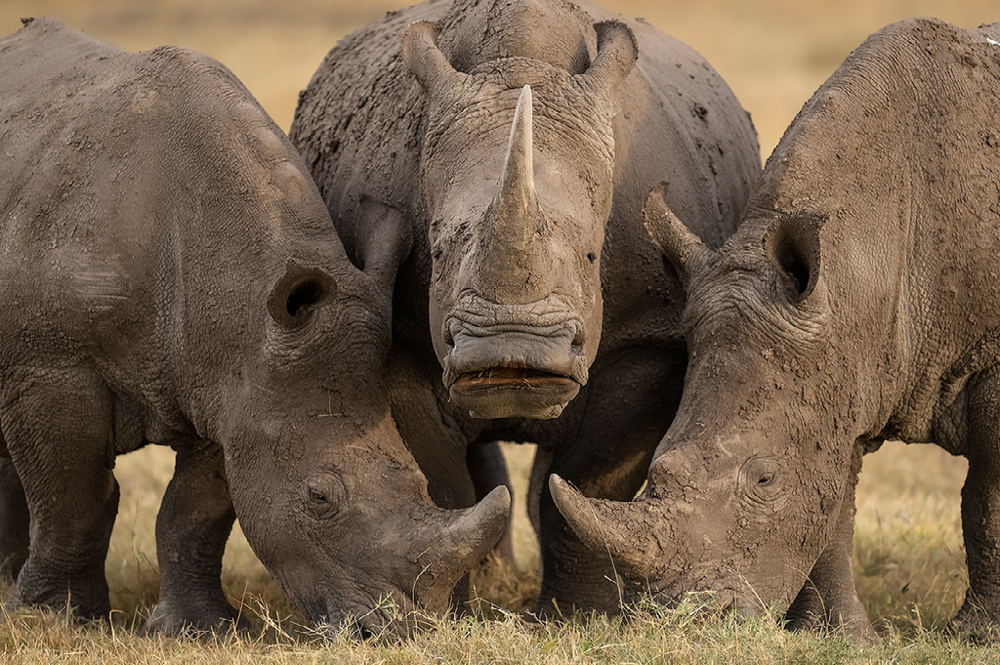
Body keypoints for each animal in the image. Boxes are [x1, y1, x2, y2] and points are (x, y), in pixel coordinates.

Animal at [0, 18, 508, 636]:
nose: (393, 631)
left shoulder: (234, 380)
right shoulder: (52, 365)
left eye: (420, 482)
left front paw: (195, 630)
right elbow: (74, 498)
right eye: (319, 498)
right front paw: (58, 620)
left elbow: (192, 512)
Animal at [290, 0, 756, 616]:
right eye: (436, 249)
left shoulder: (644, 338)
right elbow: (444, 489)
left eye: (592, 255)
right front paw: (455, 615)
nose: (511, 353)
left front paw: (581, 617)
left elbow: (581, 488)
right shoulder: (403, 338)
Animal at [552, 16, 1000, 640]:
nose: (691, 621)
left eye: (764, 480)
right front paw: (837, 637)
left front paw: (976, 634)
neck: (864, 261)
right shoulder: (840, 364)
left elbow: (986, 500)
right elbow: (832, 505)